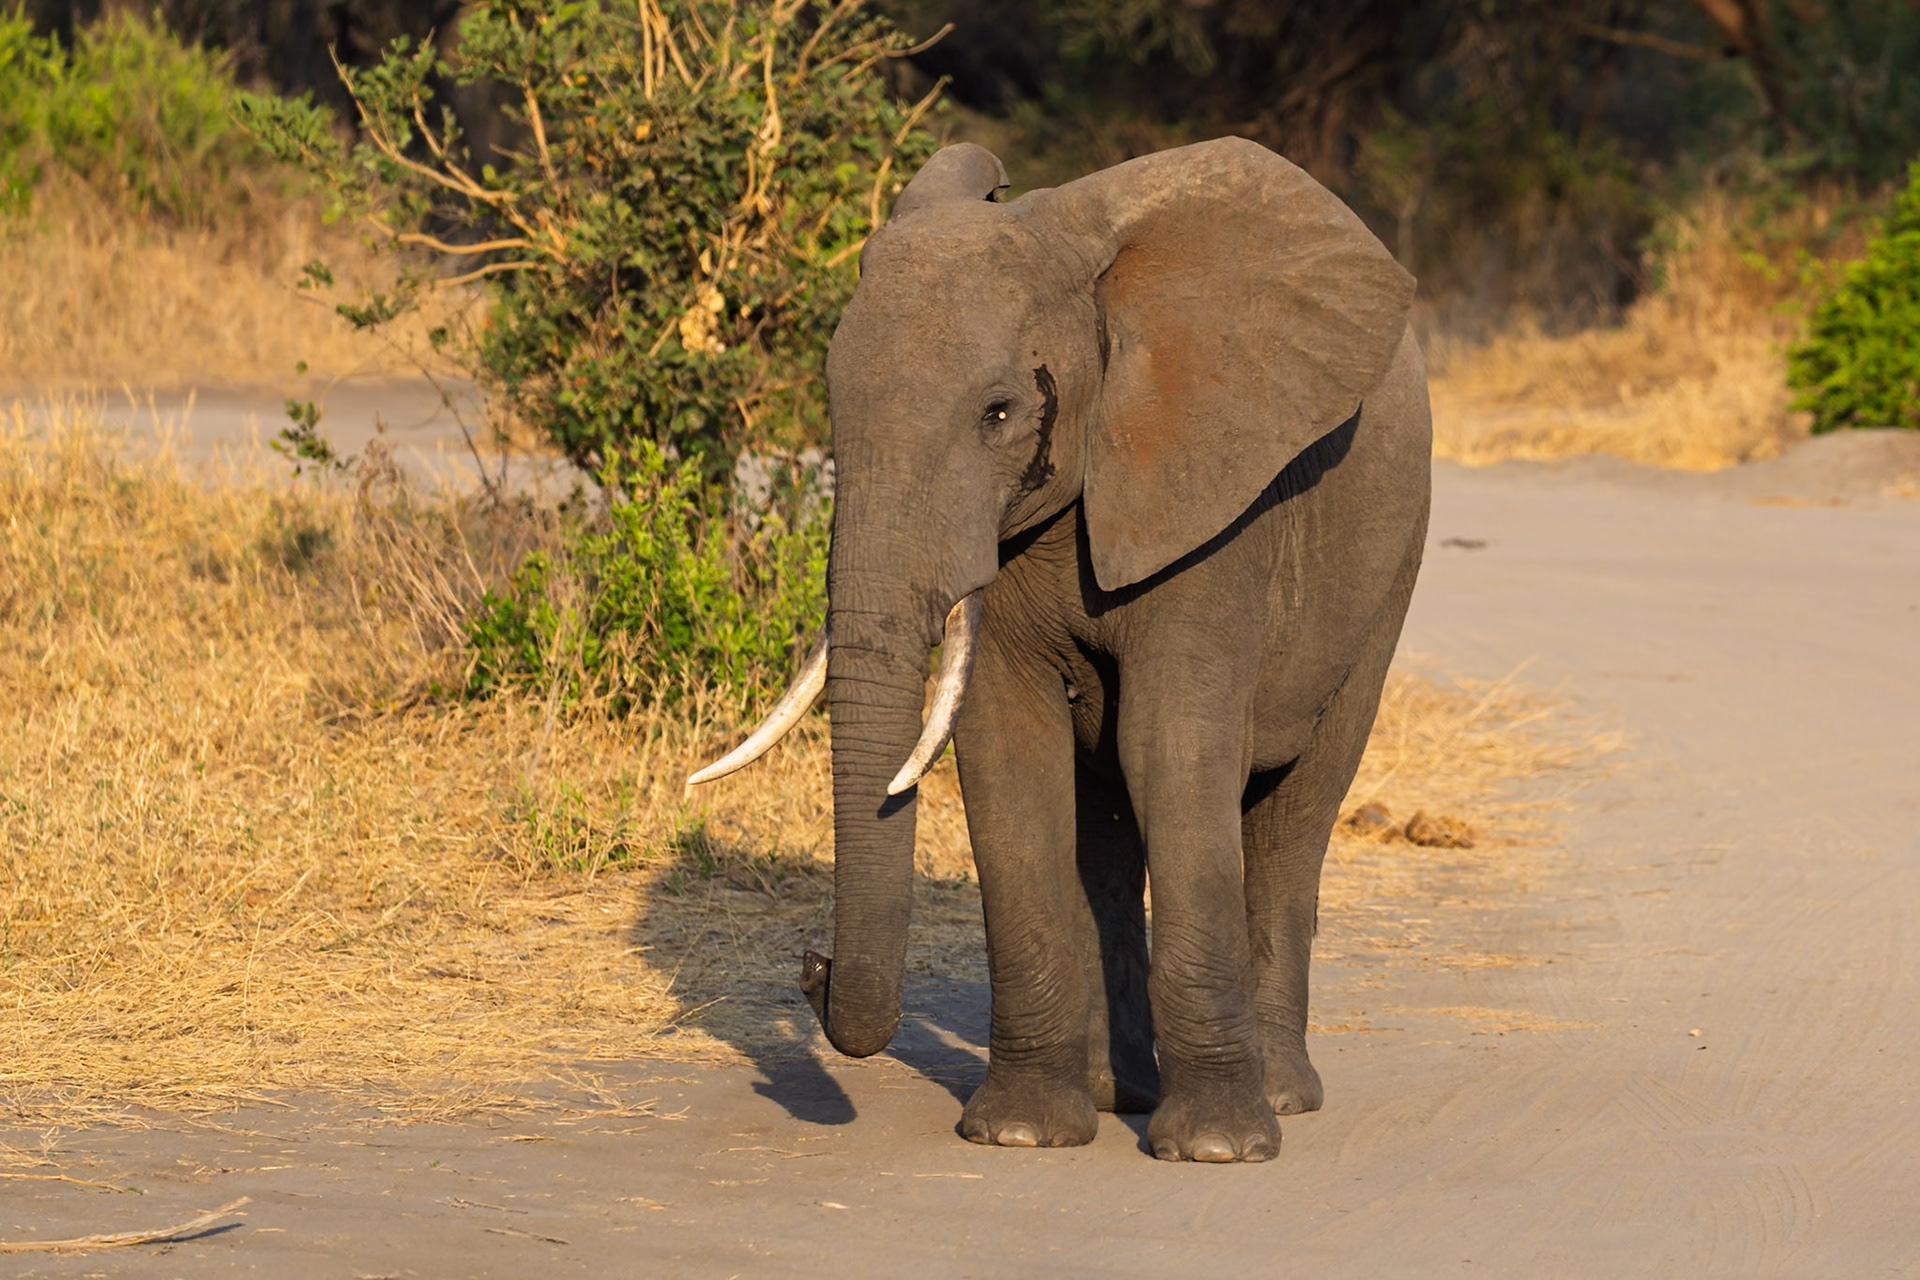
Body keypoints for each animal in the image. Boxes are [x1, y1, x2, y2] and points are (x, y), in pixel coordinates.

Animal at [691, 136, 1431, 1162]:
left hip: (1390, 564)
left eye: (999, 413)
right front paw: (1021, 1136)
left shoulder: (1215, 502)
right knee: (1108, 825)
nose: (811, 963)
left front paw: (1215, 1151)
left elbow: (1173, 749)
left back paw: (1279, 1098)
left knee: (1295, 808)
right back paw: (1119, 1090)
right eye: (832, 406)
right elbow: (1011, 755)